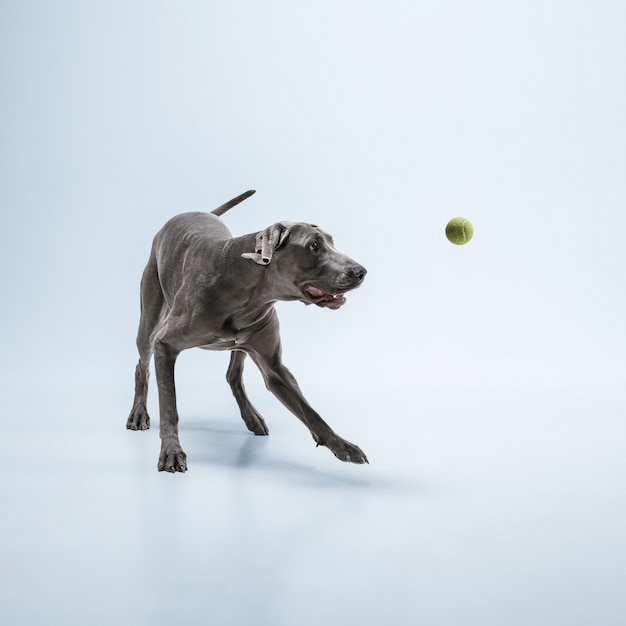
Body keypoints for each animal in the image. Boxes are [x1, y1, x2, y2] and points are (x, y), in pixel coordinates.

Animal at [127, 188, 368, 470]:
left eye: (331, 242)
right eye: (313, 246)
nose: (360, 271)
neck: (248, 289)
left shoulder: (274, 366)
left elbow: (310, 411)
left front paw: (342, 445)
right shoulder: (165, 345)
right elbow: (169, 405)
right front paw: (171, 451)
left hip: (243, 343)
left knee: (233, 374)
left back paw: (251, 417)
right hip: (149, 318)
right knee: (142, 365)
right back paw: (138, 414)